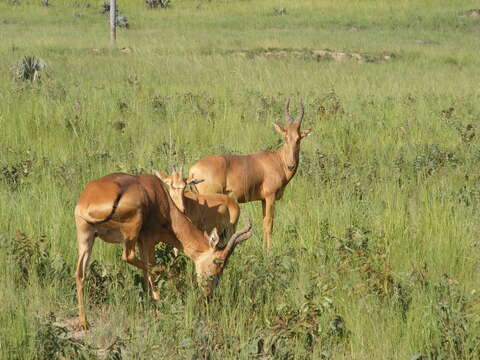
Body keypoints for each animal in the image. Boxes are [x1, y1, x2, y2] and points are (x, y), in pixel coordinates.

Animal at [74, 172, 251, 330]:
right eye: (218, 262)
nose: (208, 294)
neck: (158, 196)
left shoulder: (141, 242)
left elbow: (145, 273)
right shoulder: (148, 239)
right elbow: (150, 270)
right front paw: (157, 308)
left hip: (87, 237)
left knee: (80, 273)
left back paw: (84, 322)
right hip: (129, 233)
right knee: (131, 258)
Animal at [188, 100, 312, 249]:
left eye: (299, 138)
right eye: (286, 137)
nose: (291, 165)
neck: (277, 160)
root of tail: (193, 170)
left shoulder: (263, 199)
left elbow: (264, 222)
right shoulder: (270, 197)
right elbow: (269, 223)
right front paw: (268, 250)